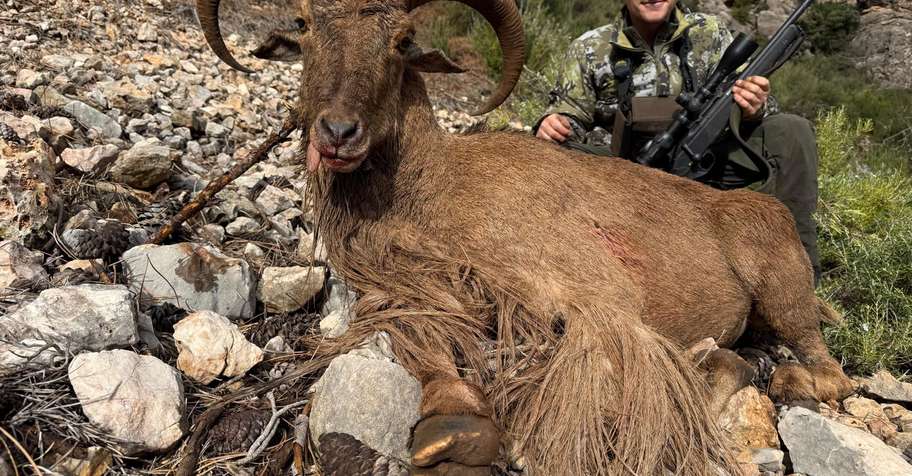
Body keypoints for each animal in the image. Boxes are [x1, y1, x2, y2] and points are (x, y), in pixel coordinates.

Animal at [196, 0, 855, 474]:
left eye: (402, 41)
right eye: (304, 26)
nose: (337, 132)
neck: (438, 188)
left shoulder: (594, 298)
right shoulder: (414, 285)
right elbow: (413, 330)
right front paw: (452, 428)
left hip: (782, 286)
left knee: (827, 371)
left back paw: (778, 375)